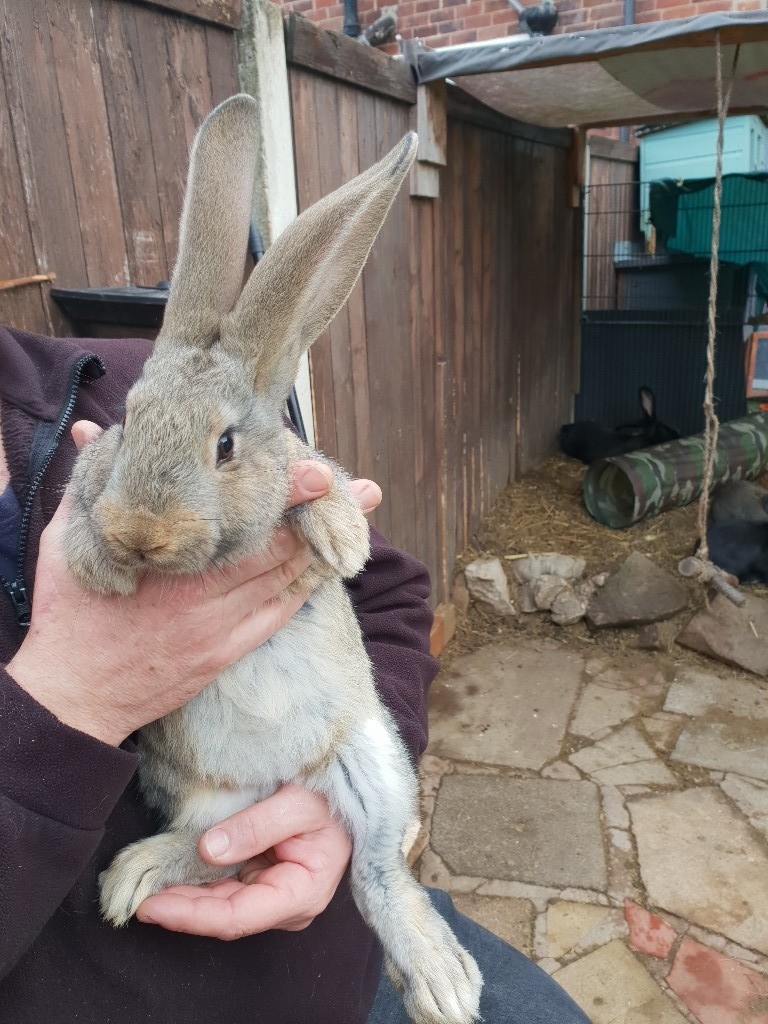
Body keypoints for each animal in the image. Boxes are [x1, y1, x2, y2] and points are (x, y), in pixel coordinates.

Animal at [62, 95, 482, 1024]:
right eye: (127, 420)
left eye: (225, 445)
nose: (142, 533)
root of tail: (279, 782)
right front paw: (94, 564)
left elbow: (313, 480)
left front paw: (343, 536)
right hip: (193, 790)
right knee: (217, 849)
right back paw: (132, 878)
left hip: (371, 763)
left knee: (373, 868)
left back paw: (442, 981)